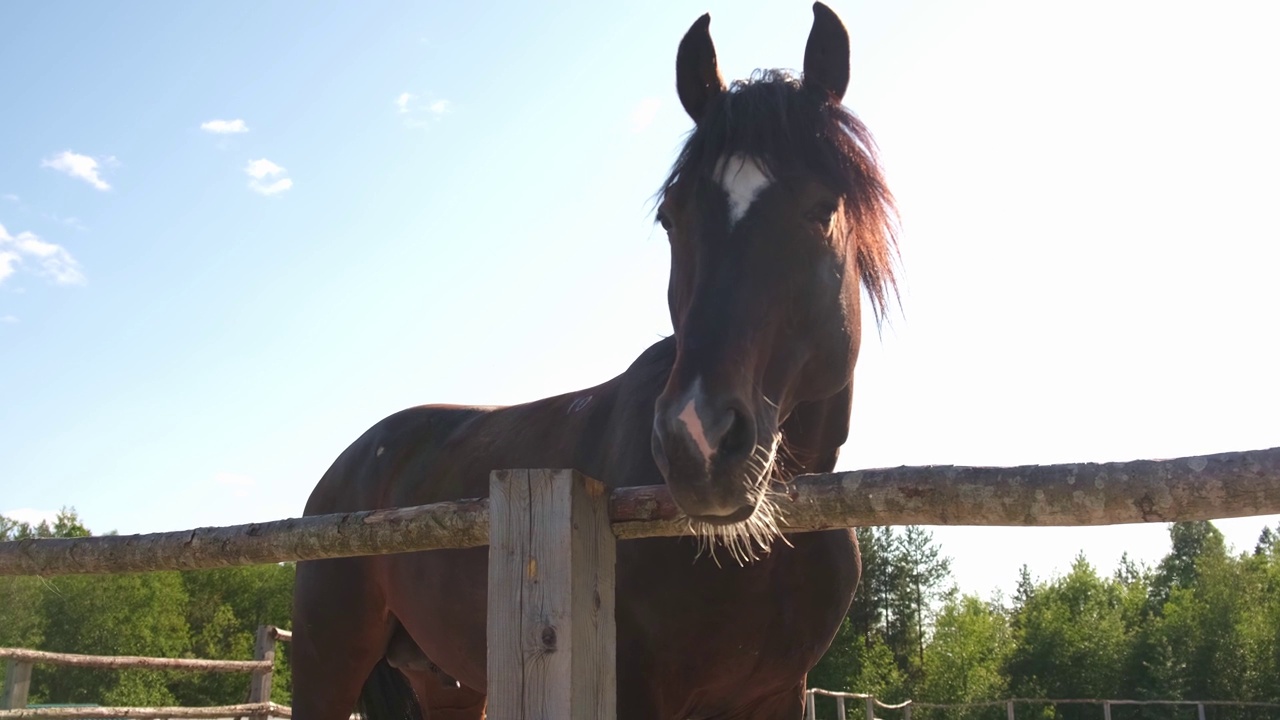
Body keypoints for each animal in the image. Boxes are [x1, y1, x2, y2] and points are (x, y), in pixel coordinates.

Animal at [290, 2, 896, 712]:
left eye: (821, 209)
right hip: (327, 668)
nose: (698, 442)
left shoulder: (777, 695)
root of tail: (345, 471)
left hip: (444, 684)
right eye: (671, 217)